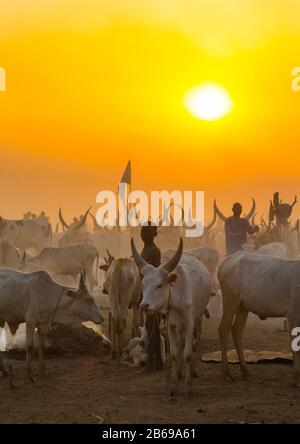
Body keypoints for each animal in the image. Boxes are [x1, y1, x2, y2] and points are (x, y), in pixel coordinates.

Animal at [132, 238, 213, 398]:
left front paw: (188, 387)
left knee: (193, 344)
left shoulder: (189, 324)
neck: (176, 298)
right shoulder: (171, 325)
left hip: (197, 317)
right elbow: (175, 353)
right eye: (143, 284)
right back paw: (181, 372)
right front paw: (174, 385)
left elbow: (187, 353)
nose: (144, 306)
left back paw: (193, 371)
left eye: (160, 285)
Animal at [218, 251, 300, 386]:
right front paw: (297, 378)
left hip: (242, 306)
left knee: (237, 331)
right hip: (230, 301)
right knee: (223, 329)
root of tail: (230, 259)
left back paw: (246, 372)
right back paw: (227, 373)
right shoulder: (293, 314)